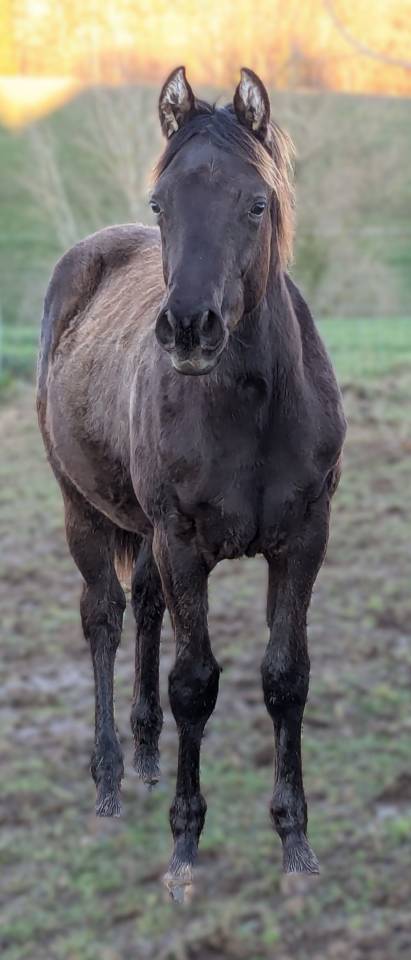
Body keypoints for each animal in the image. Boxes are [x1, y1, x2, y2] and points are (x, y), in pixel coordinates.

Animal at [37, 65, 346, 901]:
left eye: (257, 202)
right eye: (161, 204)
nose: (186, 330)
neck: (251, 411)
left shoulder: (302, 541)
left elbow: (285, 677)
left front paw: (295, 845)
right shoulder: (184, 545)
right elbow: (194, 685)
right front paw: (182, 851)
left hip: (143, 528)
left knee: (143, 606)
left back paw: (145, 757)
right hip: (82, 510)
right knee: (105, 617)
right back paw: (111, 781)